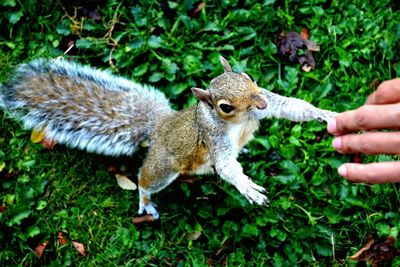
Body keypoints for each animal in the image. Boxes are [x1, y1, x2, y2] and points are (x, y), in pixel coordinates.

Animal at [0, 56, 338, 220]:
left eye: (247, 77)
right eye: (224, 106)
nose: (260, 104)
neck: (240, 122)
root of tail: (159, 126)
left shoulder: (268, 101)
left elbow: (291, 107)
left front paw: (325, 114)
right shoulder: (213, 138)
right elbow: (227, 167)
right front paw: (248, 189)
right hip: (164, 166)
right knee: (144, 180)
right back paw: (146, 200)